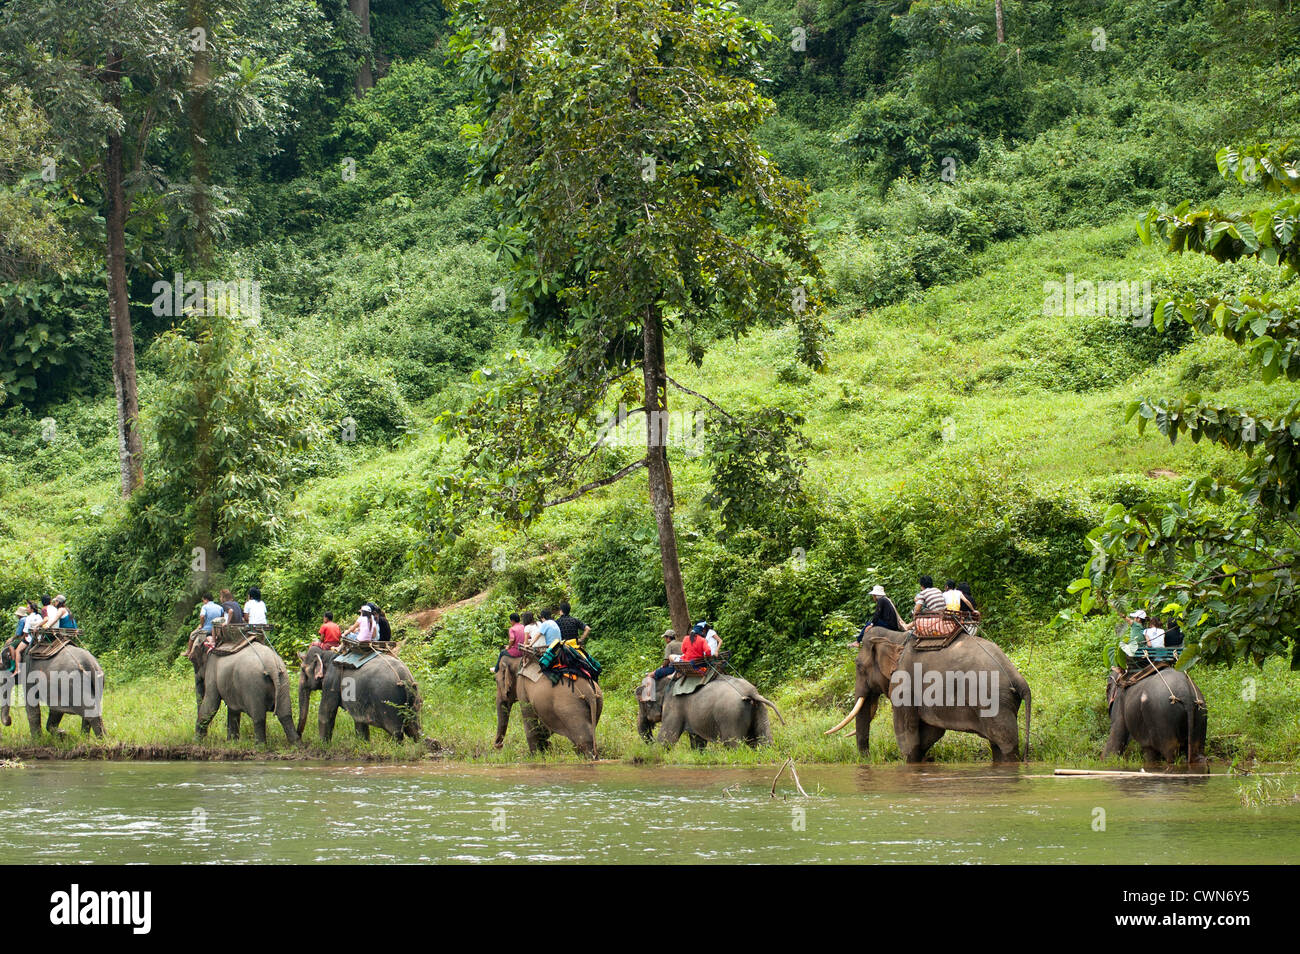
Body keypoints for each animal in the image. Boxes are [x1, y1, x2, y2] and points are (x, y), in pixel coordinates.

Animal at [635, 672, 783, 748]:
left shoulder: (674, 706)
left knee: (733, 744)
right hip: (760, 710)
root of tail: (751, 692)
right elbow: (697, 741)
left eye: (644, 703)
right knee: (764, 741)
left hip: (731, 715)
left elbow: (667, 737)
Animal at [826, 625, 1031, 762]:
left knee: (1005, 743)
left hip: (994, 703)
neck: (896, 637)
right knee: (996, 744)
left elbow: (906, 732)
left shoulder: (904, 683)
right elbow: (931, 732)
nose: (867, 759)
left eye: (858, 665)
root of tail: (1019, 679)